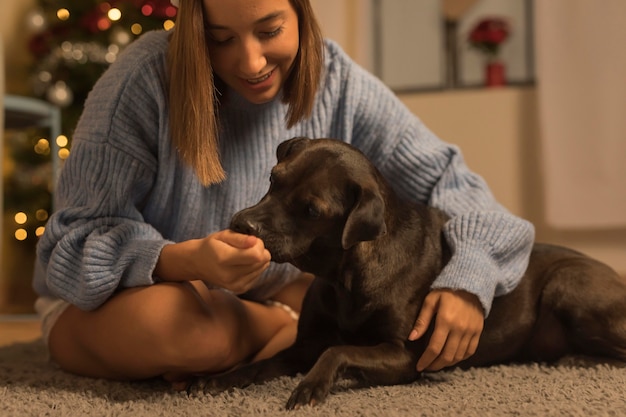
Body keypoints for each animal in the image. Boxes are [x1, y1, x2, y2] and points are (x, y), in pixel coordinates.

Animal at [193, 136, 620, 406]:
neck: (344, 279)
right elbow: (262, 362)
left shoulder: (404, 355)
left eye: (312, 210)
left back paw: (579, 360)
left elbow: (337, 349)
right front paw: (221, 379)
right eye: (273, 179)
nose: (241, 225)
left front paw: (311, 385)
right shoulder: (304, 345)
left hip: (567, 284)